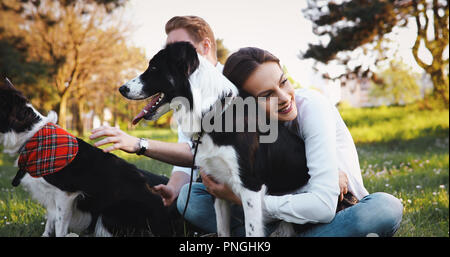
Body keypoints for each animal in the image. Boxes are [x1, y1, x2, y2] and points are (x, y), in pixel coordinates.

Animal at [118, 42, 312, 236]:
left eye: (153, 68)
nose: (121, 88)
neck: (214, 112)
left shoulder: (251, 186)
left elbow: (251, 230)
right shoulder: (217, 184)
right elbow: (222, 230)